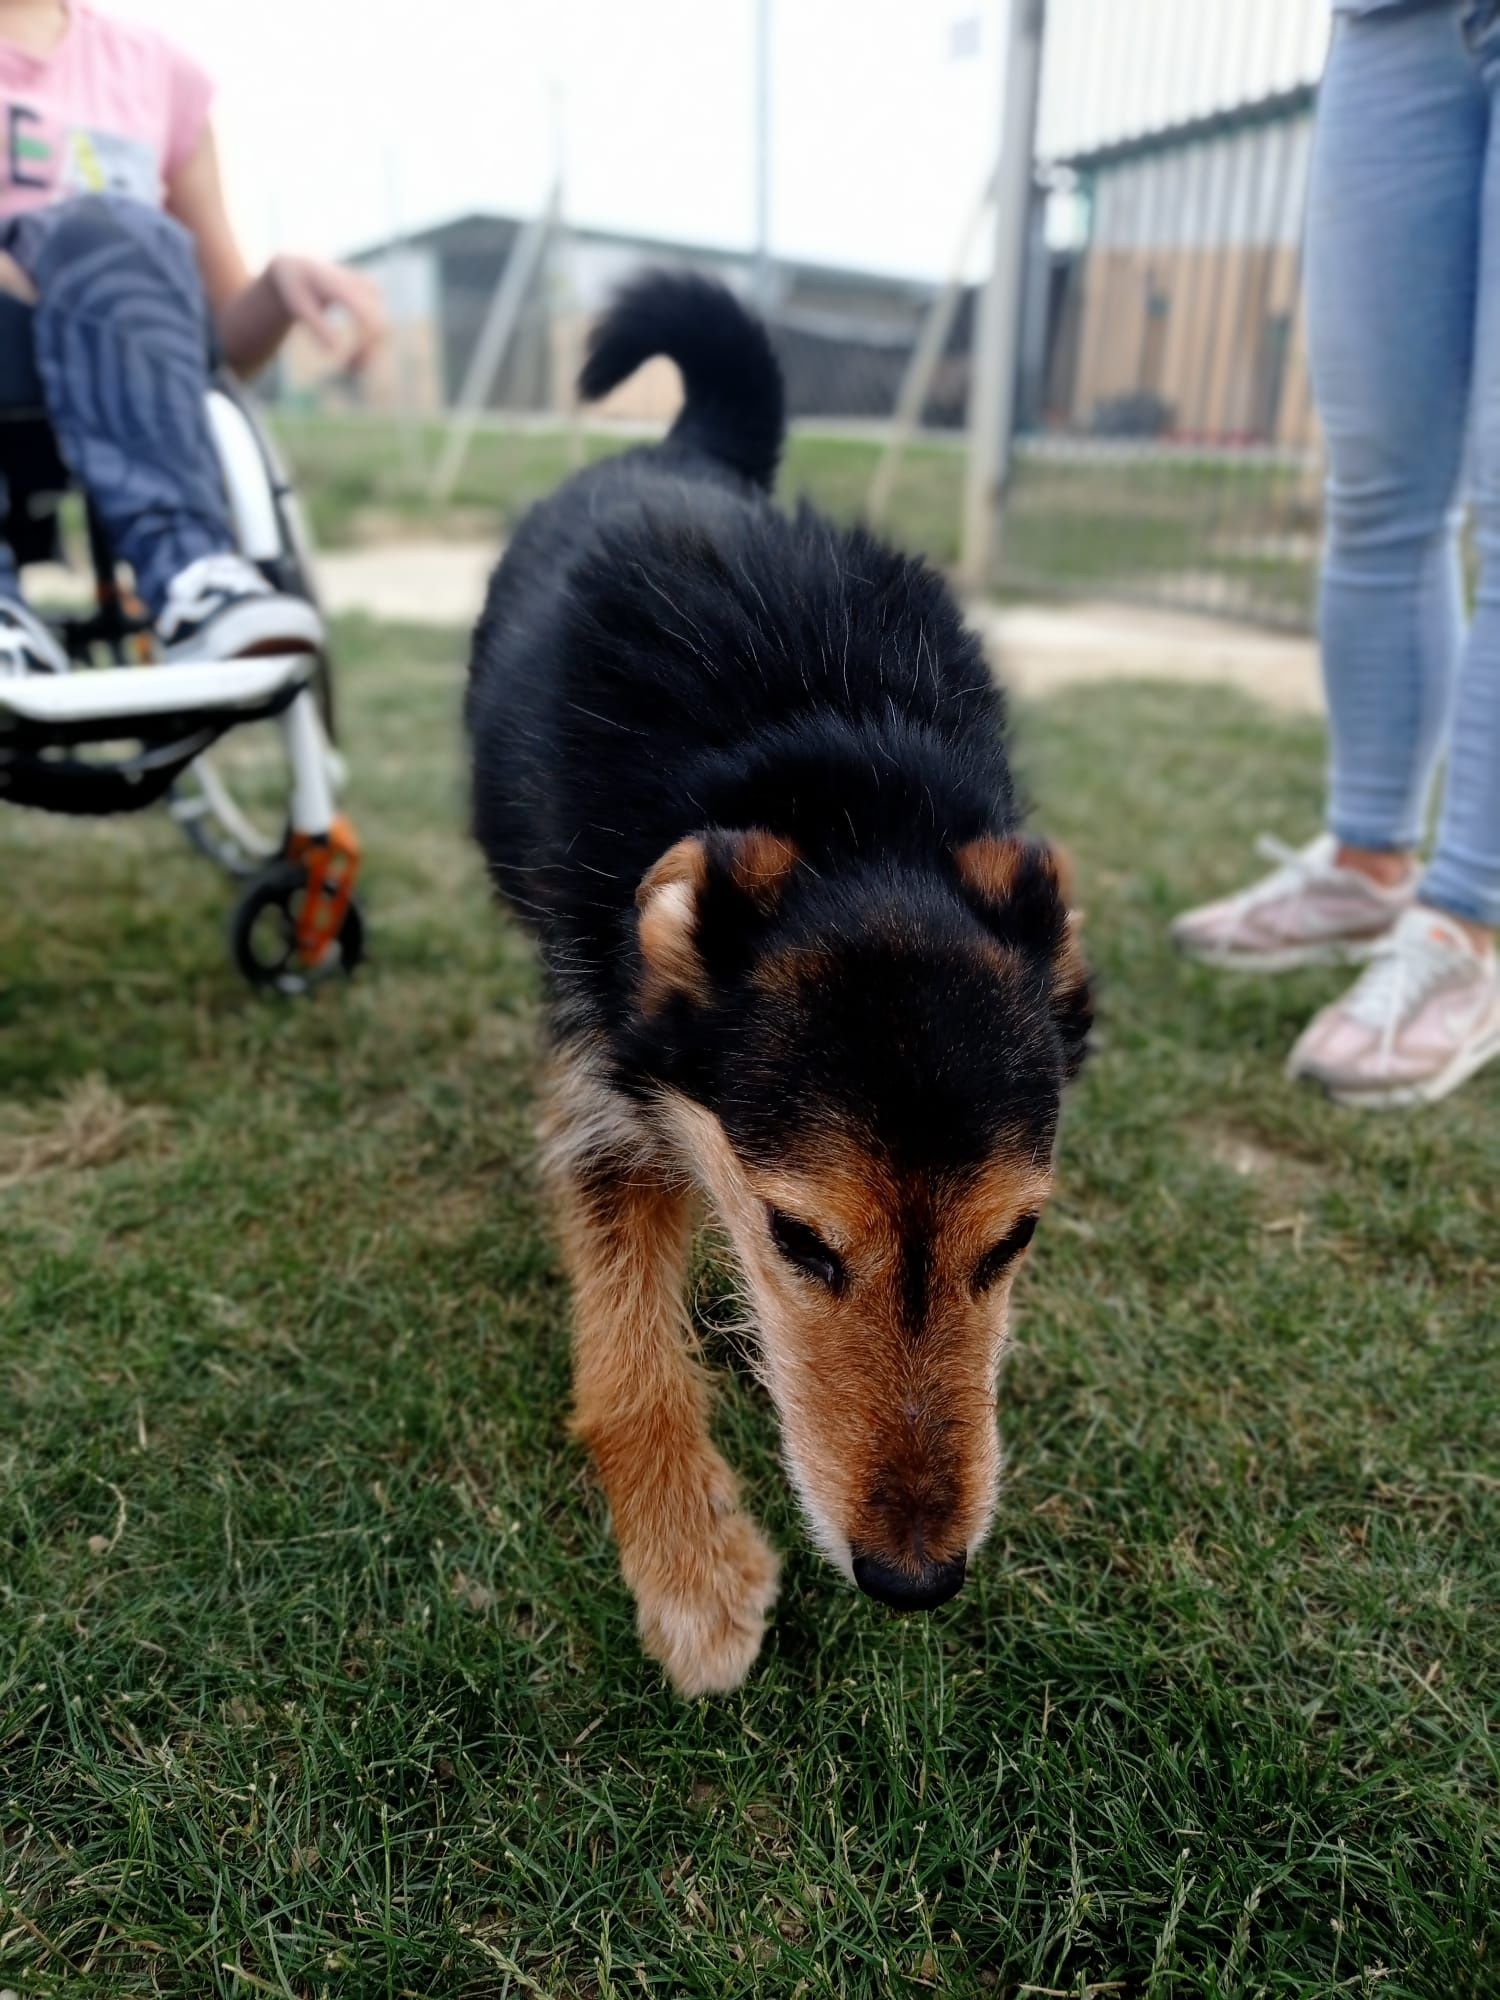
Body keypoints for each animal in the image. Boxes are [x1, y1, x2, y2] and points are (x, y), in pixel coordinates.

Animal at [470, 274, 1096, 1696]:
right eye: (799, 1239)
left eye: (1015, 1240)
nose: (916, 1580)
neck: (843, 780)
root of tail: (680, 449)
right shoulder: (607, 1079)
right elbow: (628, 1352)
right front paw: (691, 1566)